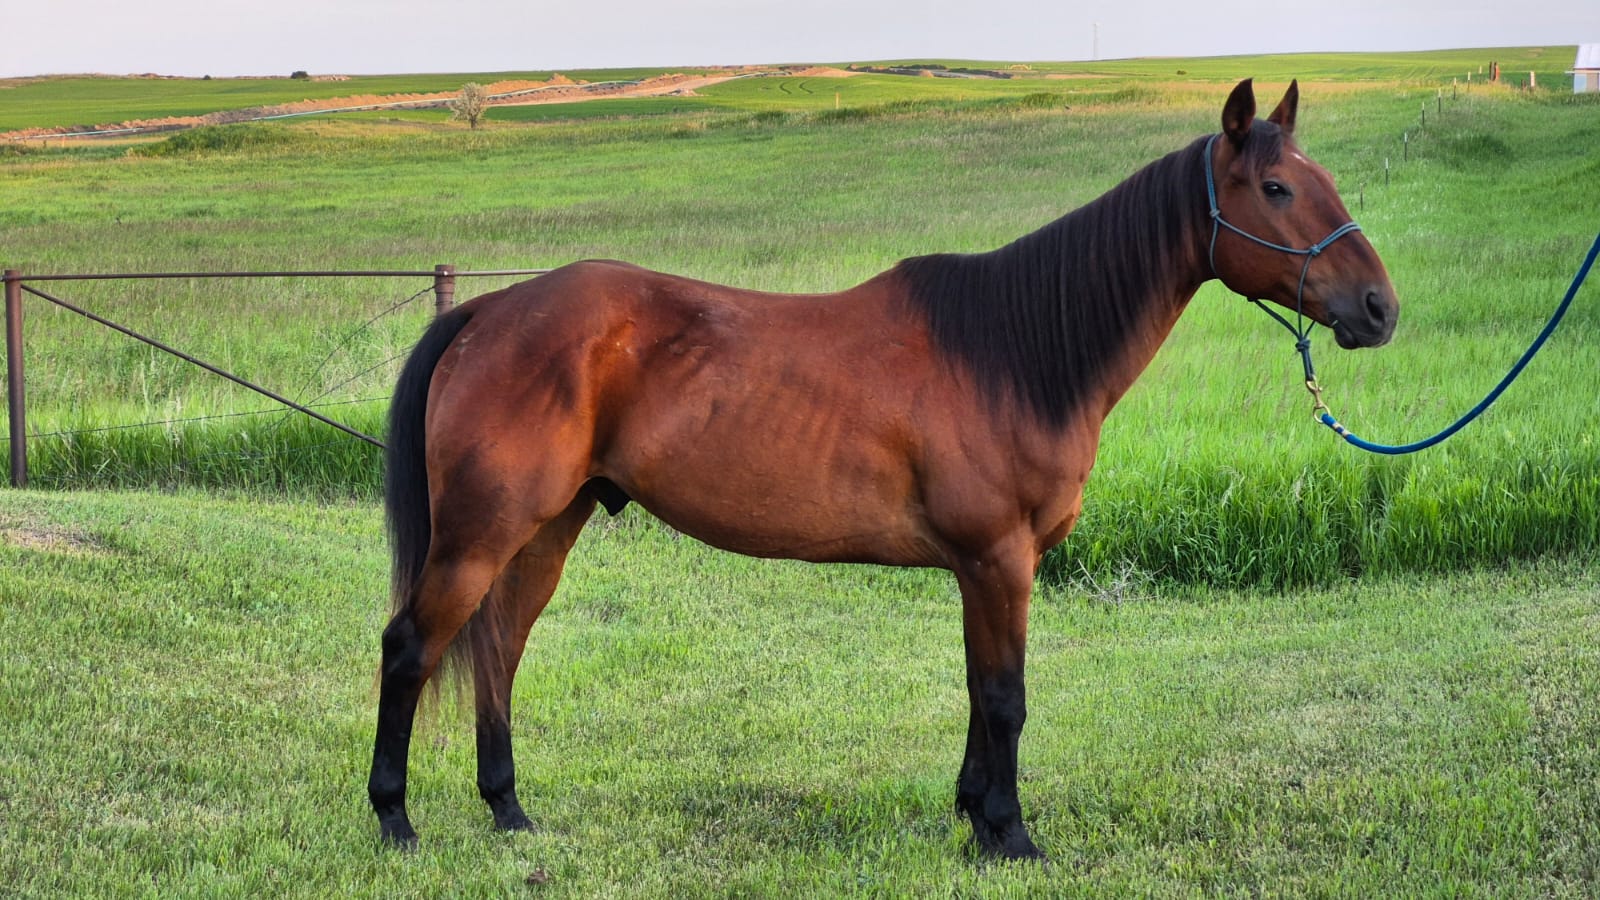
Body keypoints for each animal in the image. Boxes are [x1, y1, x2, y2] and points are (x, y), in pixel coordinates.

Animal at [368, 78, 1398, 860]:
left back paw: (508, 809)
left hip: (548, 528)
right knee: (412, 647)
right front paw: (1010, 835)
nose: (1380, 309)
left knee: (499, 648)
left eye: (1319, 178)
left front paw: (974, 816)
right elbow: (1006, 699)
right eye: (1276, 187)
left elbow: (981, 694)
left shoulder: (984, 570)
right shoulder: (999, 560)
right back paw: (395, 821)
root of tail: (490, 312)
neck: (1013, 350)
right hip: (481, 534)